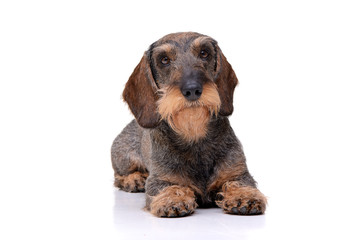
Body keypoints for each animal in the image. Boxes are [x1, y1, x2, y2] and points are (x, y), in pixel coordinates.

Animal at [112, 31, 268, 218]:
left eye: (204, 53)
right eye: (164, 59)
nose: (192, 89)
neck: (194, 132)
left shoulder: (238, 172)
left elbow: (240, 182)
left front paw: (244, 196)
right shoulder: (160, 179)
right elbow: (167, 187)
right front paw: (173, 198)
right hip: (124, 157)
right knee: (118, 176)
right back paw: (134, 179)